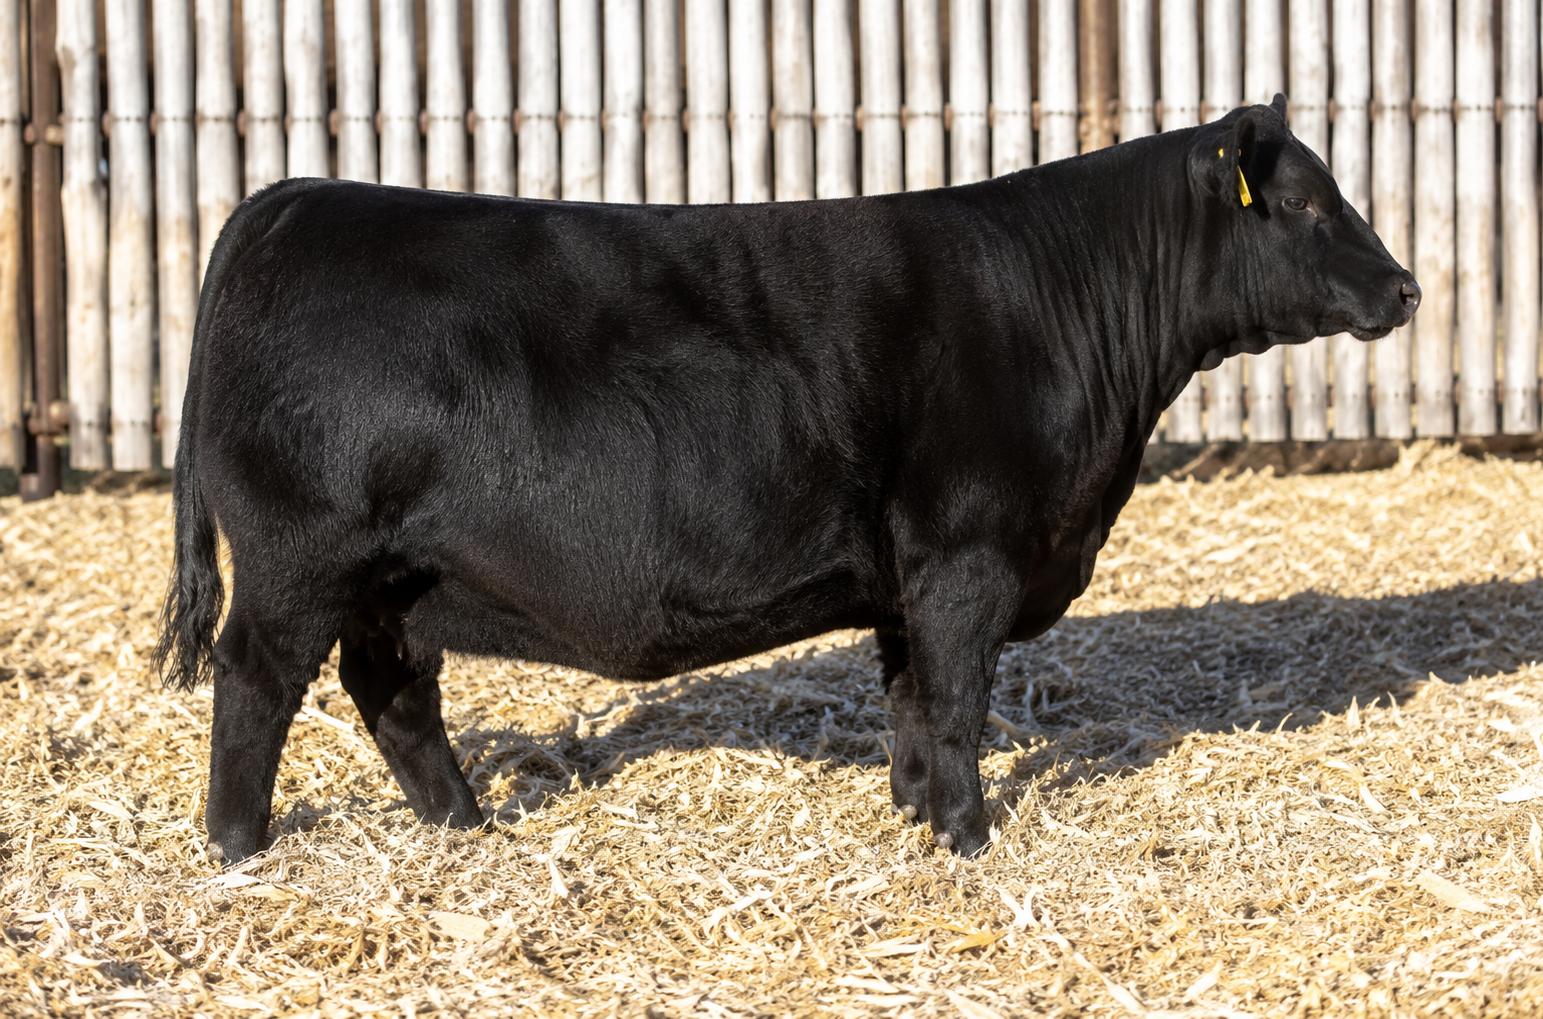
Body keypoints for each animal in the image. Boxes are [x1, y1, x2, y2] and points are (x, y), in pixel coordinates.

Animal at [155, 95, 1417, 866]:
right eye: (1306, 202)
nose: (1404, 287)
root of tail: (296, 196)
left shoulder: (908, 571)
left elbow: (910, 698)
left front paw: (915, 812)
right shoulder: (967, 550)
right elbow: (958, 699)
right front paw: (967, 837)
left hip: (392, 573)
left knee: (391, 689)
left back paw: (463, 826)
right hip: (302, 554)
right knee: (255, 680)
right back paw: (238, 846)